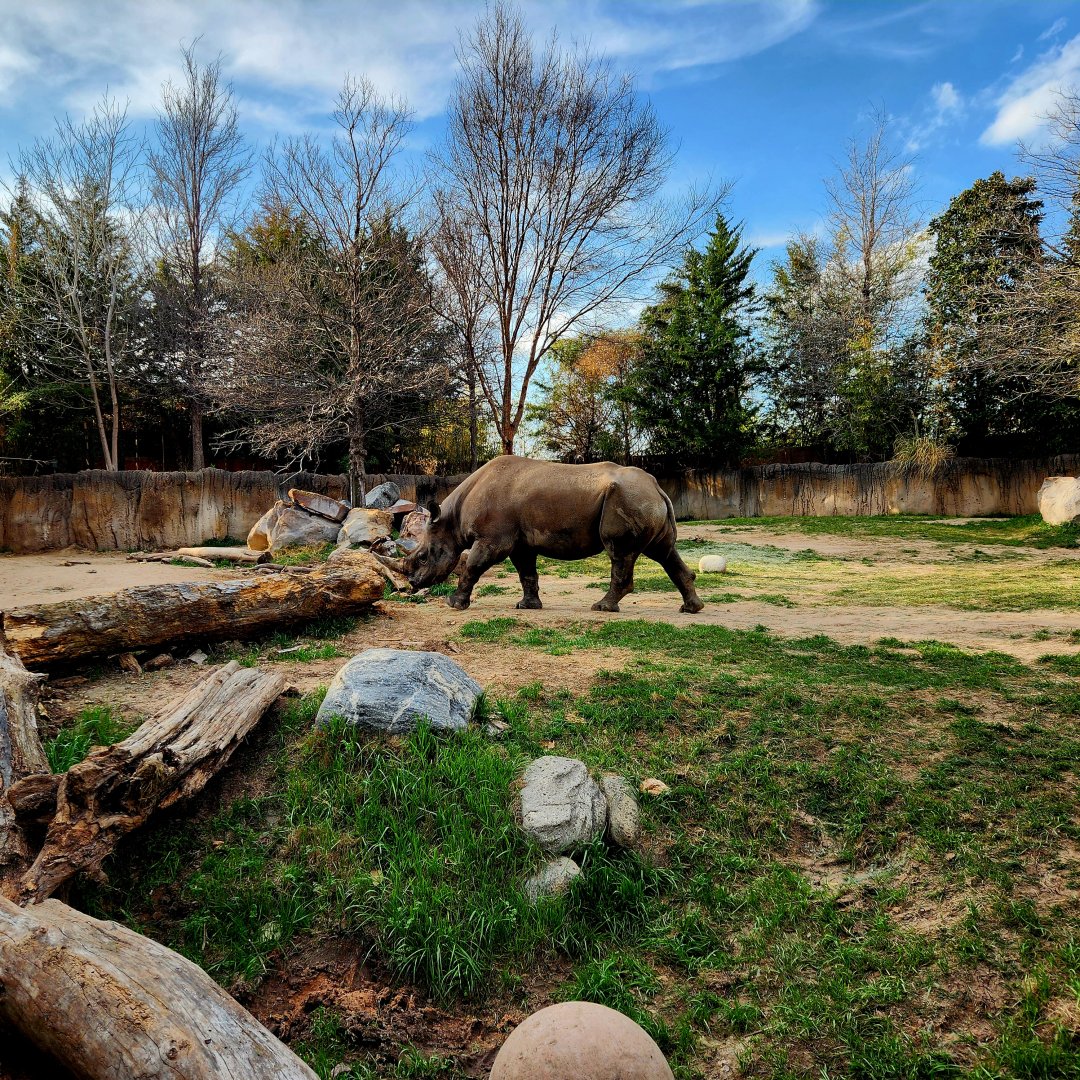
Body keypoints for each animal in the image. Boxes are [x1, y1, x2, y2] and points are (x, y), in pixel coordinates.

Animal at [380, 457, 703, 614]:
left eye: (423, 557)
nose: (412, 584)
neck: (450, 521)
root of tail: (657, 486)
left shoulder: (494, 539)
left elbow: (472, 566)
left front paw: (454, 604)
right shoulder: (519, 542)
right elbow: (527, 573)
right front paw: (527, 606)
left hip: (628, 499)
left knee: (621, 553)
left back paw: (602, 608)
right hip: (640, 499)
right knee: (663, 551)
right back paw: (691, 609)